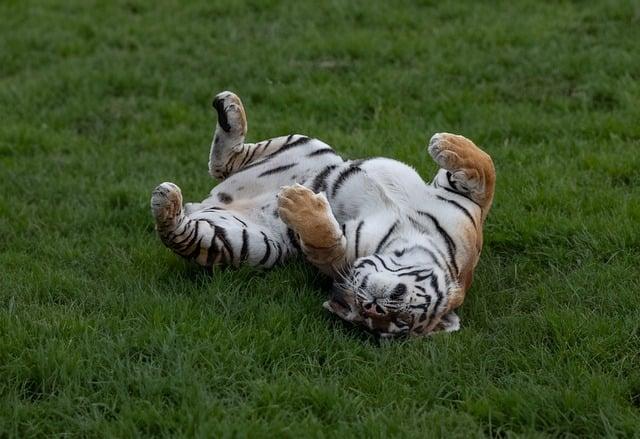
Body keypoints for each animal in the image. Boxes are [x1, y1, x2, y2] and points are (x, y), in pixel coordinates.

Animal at [151, 91, 495, 338]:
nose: (374, 307)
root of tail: (207, 202)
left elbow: (326, 243)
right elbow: (486, 172)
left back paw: (166, 201)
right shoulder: (467, 209)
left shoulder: (339, 264)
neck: (407, 237)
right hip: (306, 144)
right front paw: (447, 143)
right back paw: (229, 109)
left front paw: (295, 202)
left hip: (244, 243)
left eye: (399, 323)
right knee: (226, 162)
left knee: (179, 231)